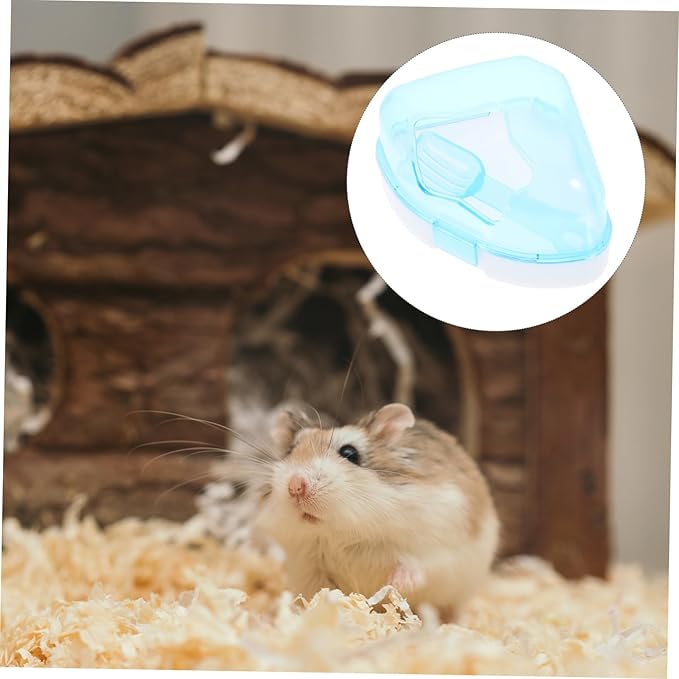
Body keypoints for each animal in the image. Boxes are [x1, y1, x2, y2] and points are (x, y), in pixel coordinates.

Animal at [249, 402, 500, 620]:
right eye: (290, 451)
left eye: (349, 453)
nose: (295, 486)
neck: (343, 532)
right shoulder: (309, 567)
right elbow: (321, 593)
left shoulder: (436, 546)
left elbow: (416, 565)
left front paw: (395, 584)